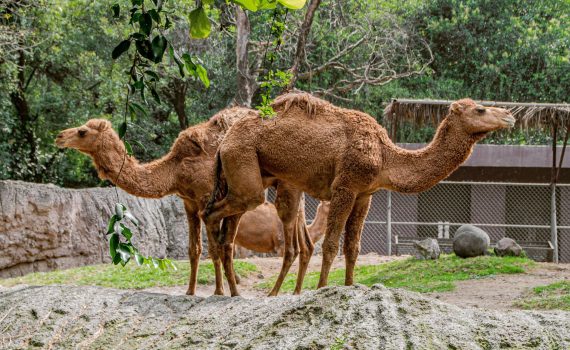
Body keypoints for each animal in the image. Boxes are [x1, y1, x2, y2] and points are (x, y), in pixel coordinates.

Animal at [55, 108, 312, 296]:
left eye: (82, 131)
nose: (59, 136)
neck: (175, 170)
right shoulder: (189, 202)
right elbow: (194, 250)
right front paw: (190, 292)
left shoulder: (207, 197)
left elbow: (216, 249)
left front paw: (221, 292)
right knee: (304, 238)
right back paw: (300, 290)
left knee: (284, 241)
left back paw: (274, 292)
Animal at [204, 91, 516, 294]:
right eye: (480, 110)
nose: (510, 116)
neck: (385, 156)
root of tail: (224, 142)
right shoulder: (346, 186)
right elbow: (331, 244)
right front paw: (323, 289)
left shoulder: (365, 194)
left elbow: (353, 247)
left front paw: (350, 286)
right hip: (244, 167)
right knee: (213, 214)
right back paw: (223, 290)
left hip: (248, 177)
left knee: (224, 226)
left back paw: (231, 292)